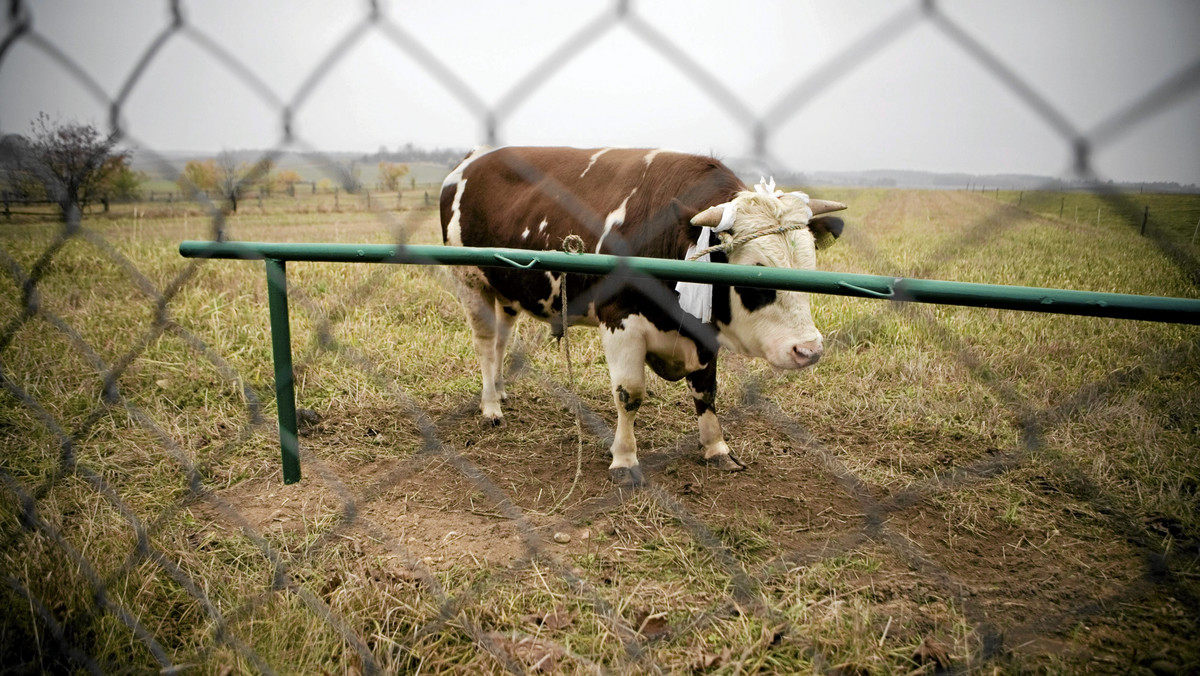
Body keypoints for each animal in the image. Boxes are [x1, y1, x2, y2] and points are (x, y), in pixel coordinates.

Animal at [439, 148, 844, 487]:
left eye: (809, 270)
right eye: (756, 273)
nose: (809, 350)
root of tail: (472, 159)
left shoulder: (702, 334)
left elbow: (706, 390)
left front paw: (717, 448)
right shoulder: (621, 322)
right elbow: (629, 394)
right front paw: (624, 459)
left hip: (505, 291)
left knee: (501, 339)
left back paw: (500, 390)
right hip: (470, 281)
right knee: (485, 343)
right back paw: (490, 406)